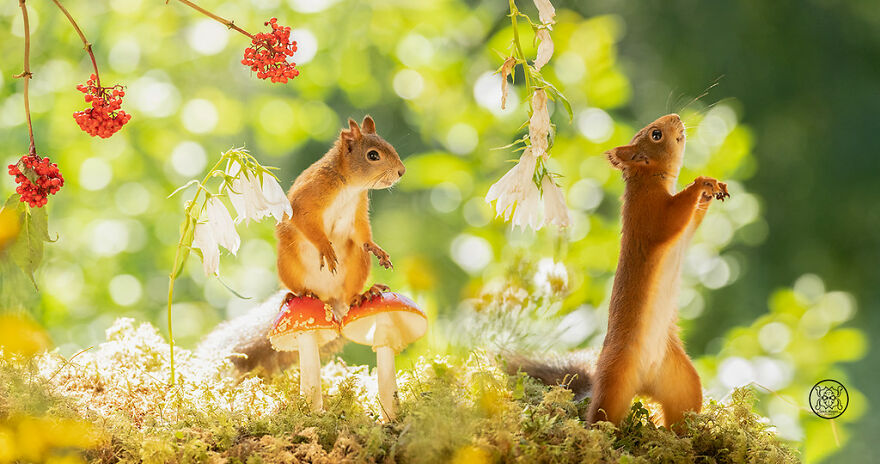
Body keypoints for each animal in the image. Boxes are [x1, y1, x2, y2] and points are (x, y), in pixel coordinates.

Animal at [196, 116, 405, 374]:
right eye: (373, 155)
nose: (401, 171)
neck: (348, 186)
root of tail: (329, 299)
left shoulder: (358, 211)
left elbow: (362, 235)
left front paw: (377, 249)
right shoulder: (307, 199)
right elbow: (307, 225)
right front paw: (326, 248)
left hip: (356, 265)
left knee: (350, 294)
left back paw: (363, 294)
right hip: (288, 263)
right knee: (297, 288)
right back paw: (298, 293)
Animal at [511, 113, 729, 429]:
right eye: (655, 134)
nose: (677, 117)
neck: (648, 179)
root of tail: (645, 383)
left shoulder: (684, 229)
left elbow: (692, 222)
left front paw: (712, 187)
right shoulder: (647, 215)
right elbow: (671, 219)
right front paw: (700, 183)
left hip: (682, 381)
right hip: (614, 379)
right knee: (601, 416)